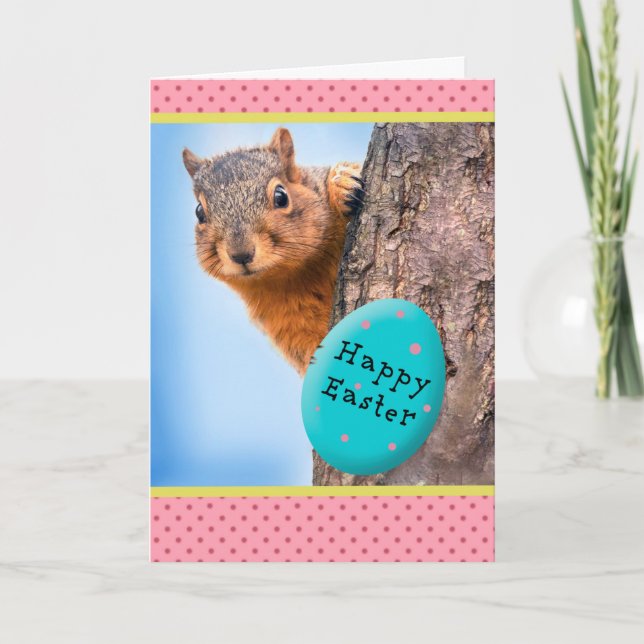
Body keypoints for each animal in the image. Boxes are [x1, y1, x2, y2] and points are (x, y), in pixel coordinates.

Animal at [183, 127, 364, 376]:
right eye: (199, 212)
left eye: (281, 196)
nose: (241, 254)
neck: (298, 275)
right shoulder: (290, 329)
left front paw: (343, 184)